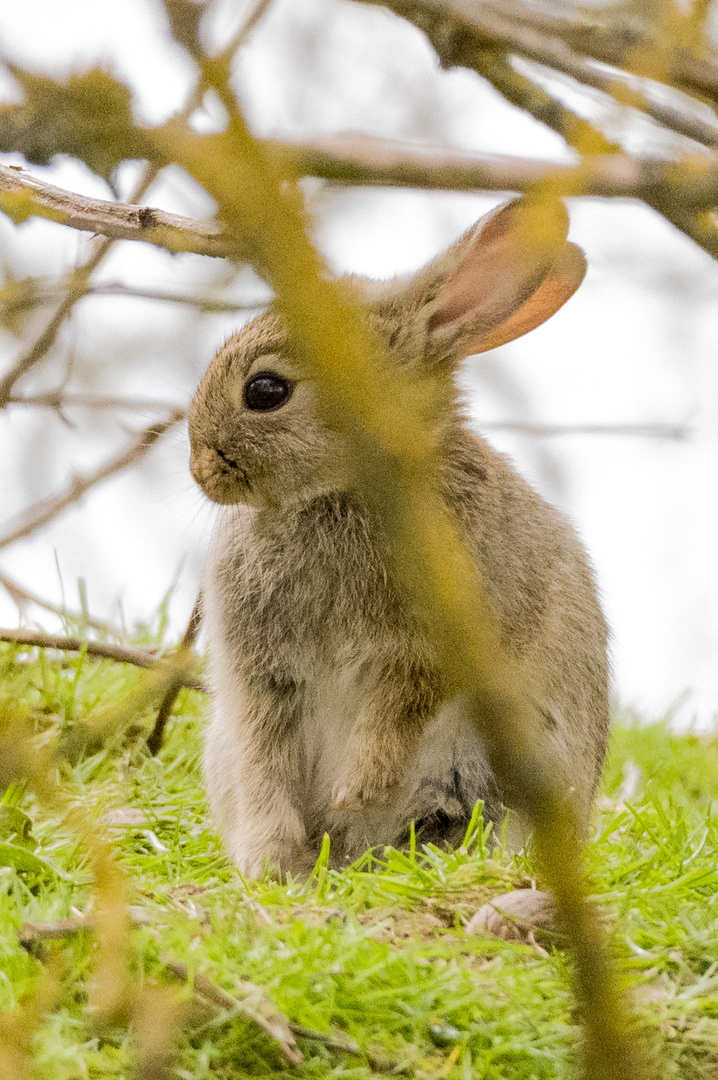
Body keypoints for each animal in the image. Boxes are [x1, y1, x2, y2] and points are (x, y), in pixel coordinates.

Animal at [188, 198, 604, 881]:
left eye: (265, 391)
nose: (201, 468)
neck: (347, 489)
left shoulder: (431, 651)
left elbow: (396, 715)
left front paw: (355, 791)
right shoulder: (263, 673)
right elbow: (265, 756)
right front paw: (272, 859)